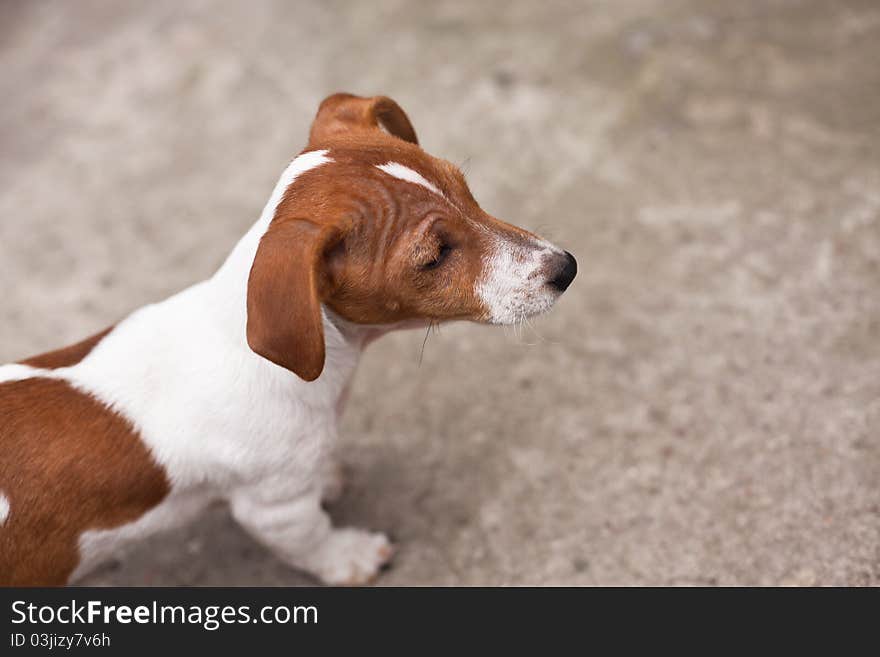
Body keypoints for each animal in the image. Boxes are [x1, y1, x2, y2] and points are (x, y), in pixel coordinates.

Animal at [0, 93, 576, 584]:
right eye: (434, 257)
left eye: (464, 189)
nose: (566, 268)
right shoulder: (274, 509)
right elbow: (312, 540)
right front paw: (350, 556)